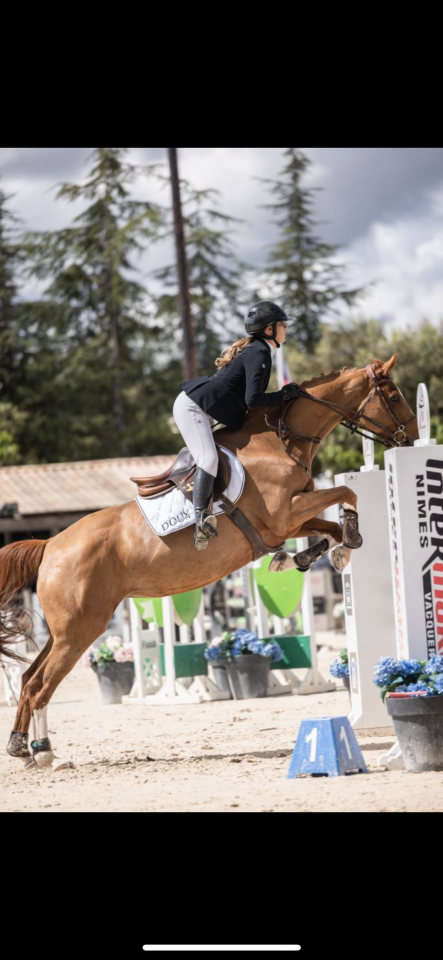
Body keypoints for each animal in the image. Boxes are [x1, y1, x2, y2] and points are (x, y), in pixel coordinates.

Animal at [0, 352, 418, 770]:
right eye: (394, 396)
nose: (410, 439)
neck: (277, 444)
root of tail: (50, 544)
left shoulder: (292, 518)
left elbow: (328, 525)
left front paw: (316, 553)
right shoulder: (285, 515)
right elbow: (347, 492)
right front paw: (348, 539)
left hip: (63, 632)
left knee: (28, 679)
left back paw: (22, 748)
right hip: (80, 631)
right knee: (39, 686)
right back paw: (45, 753)